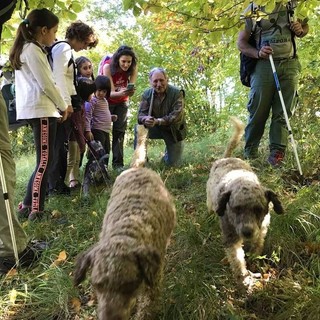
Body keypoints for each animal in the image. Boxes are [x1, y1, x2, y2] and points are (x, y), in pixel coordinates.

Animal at [206, 117, 284, 290]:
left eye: (259, 209)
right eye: (236, 208)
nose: (247, 232)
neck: (241, 180)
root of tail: (226, 158)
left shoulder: (262, 227)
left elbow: (258, 242)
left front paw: (254, 256)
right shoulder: (231, 237)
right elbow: (237, 259)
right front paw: (244, 279)